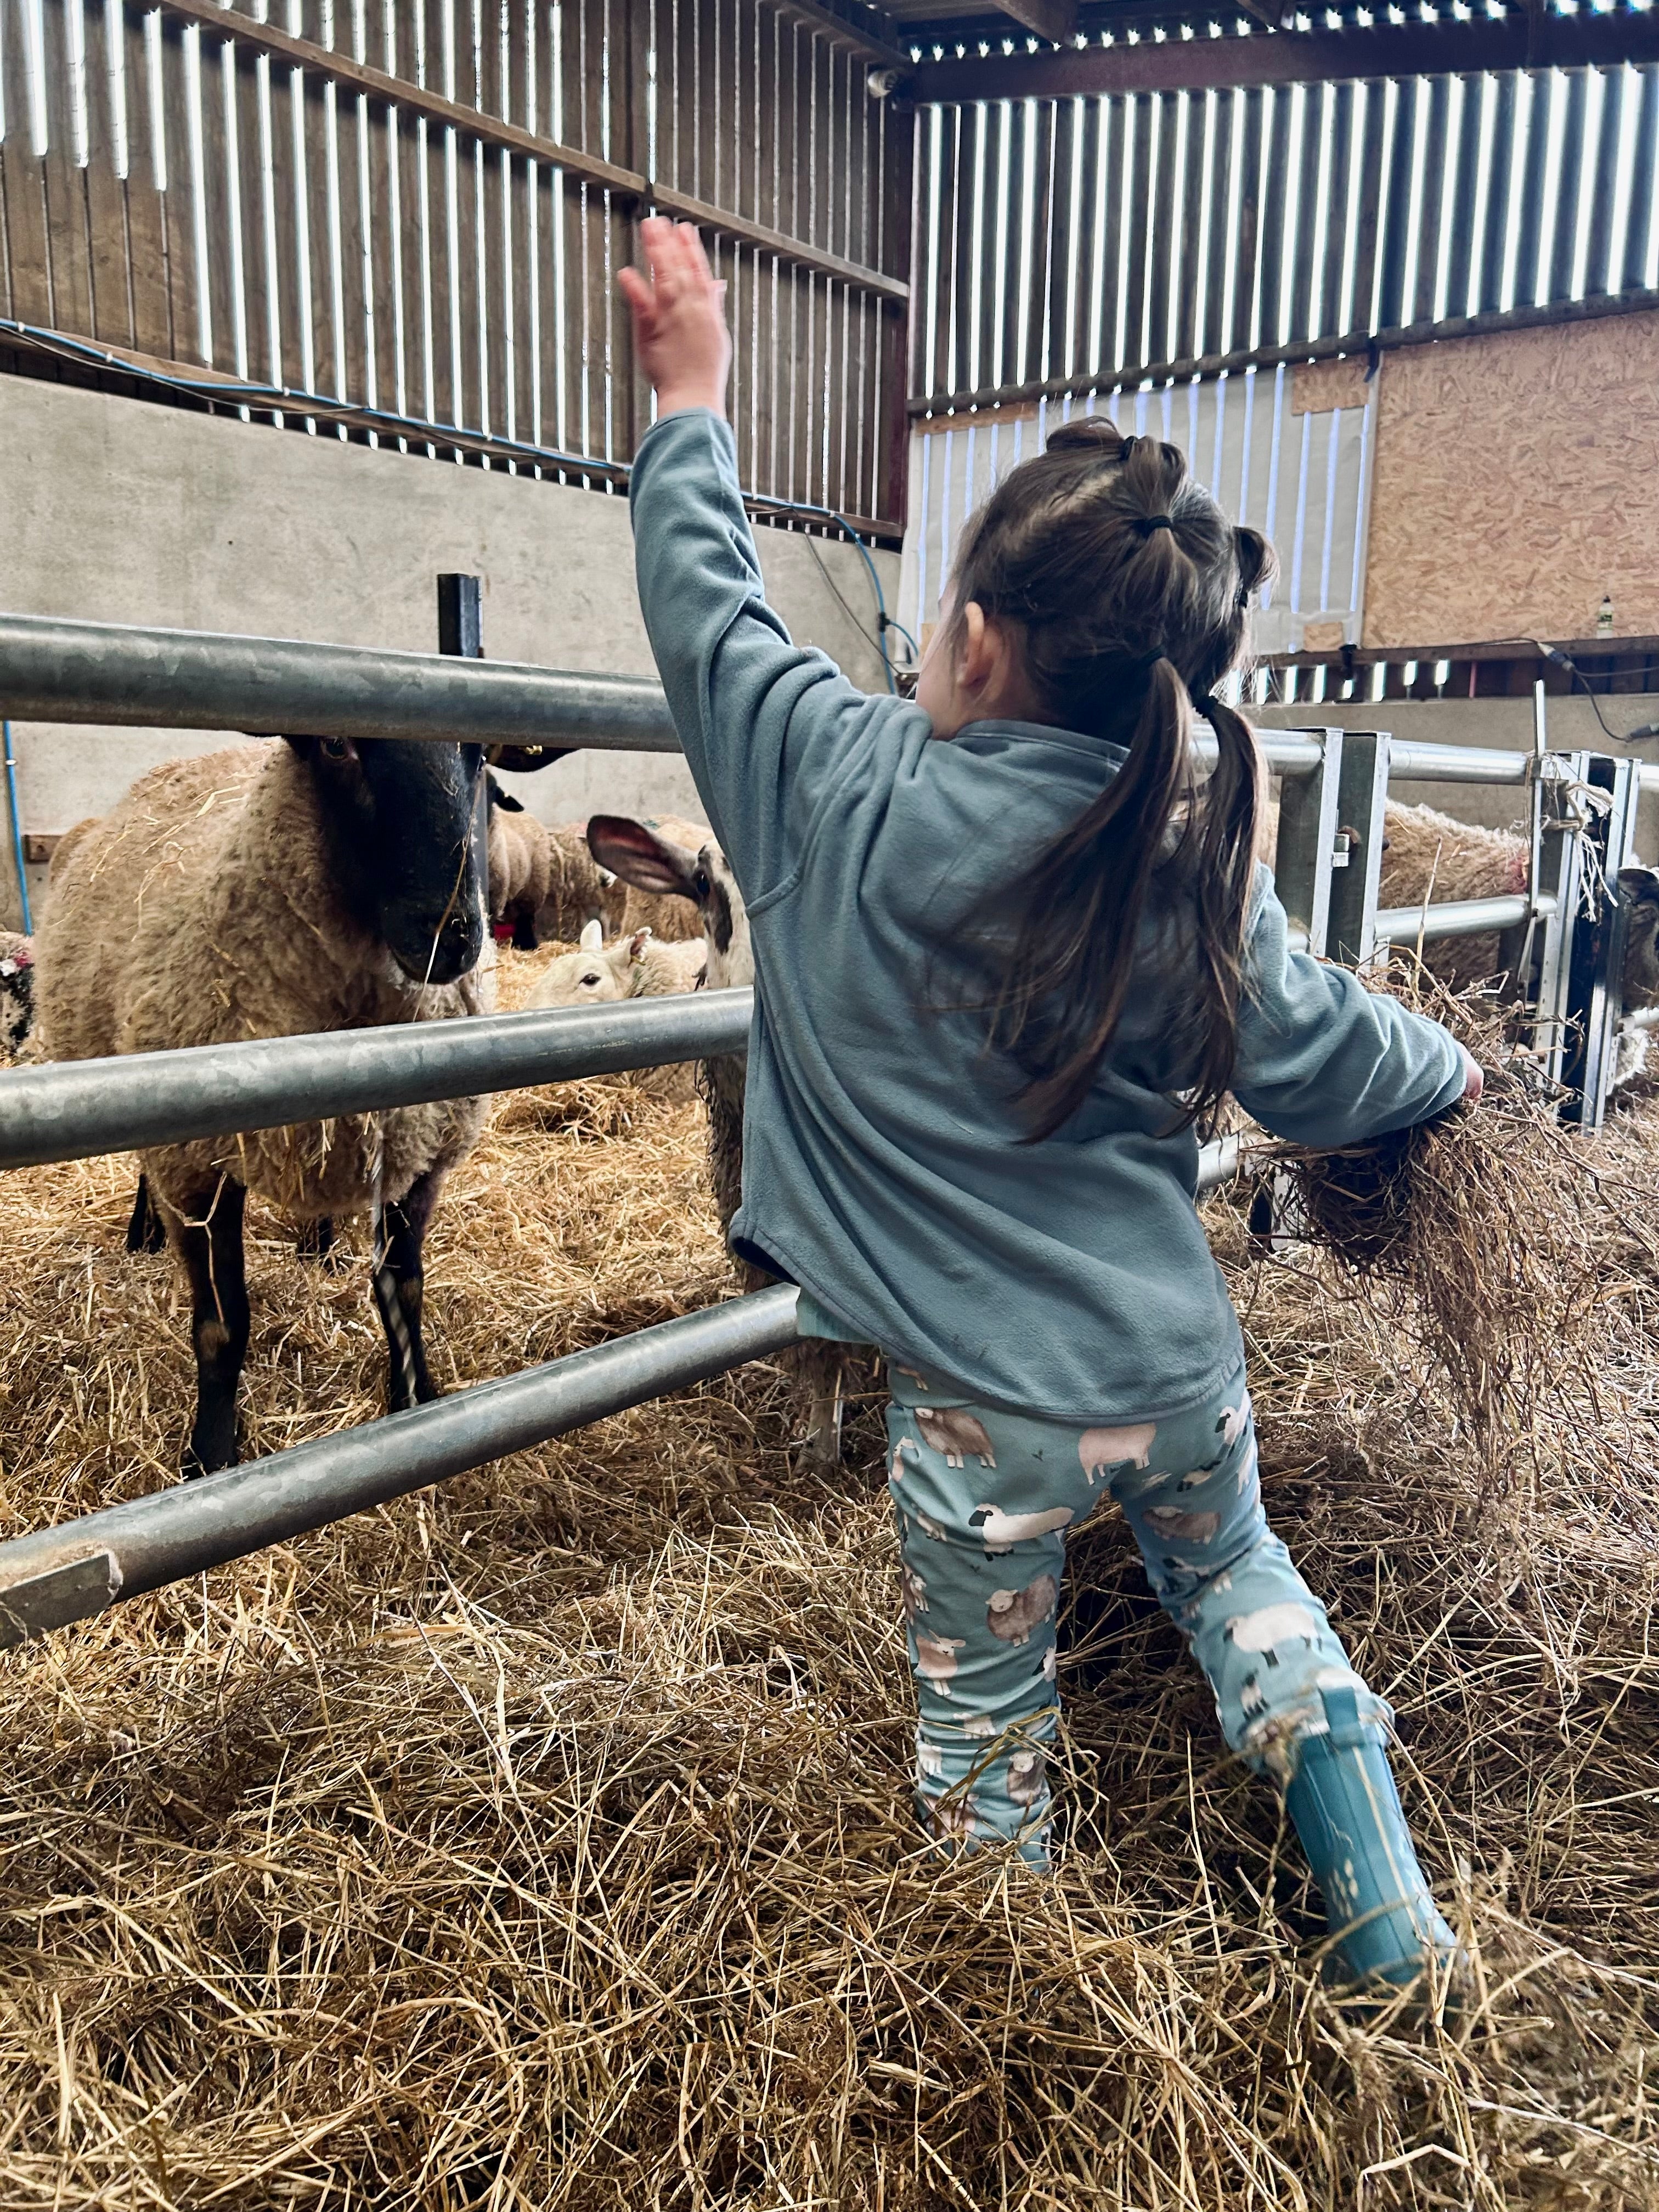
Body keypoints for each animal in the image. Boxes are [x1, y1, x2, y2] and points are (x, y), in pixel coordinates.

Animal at [34, 735, 493, 1478]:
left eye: (478, 751)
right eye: (336, 748)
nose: (450, 935)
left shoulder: (418, 1154)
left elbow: (405, 1288)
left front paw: (415, 1400)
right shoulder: (197, 1165)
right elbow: (222, 1326)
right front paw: (211, 1455)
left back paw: (319, 1245)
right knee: (144, 1165)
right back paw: (144, 1233)